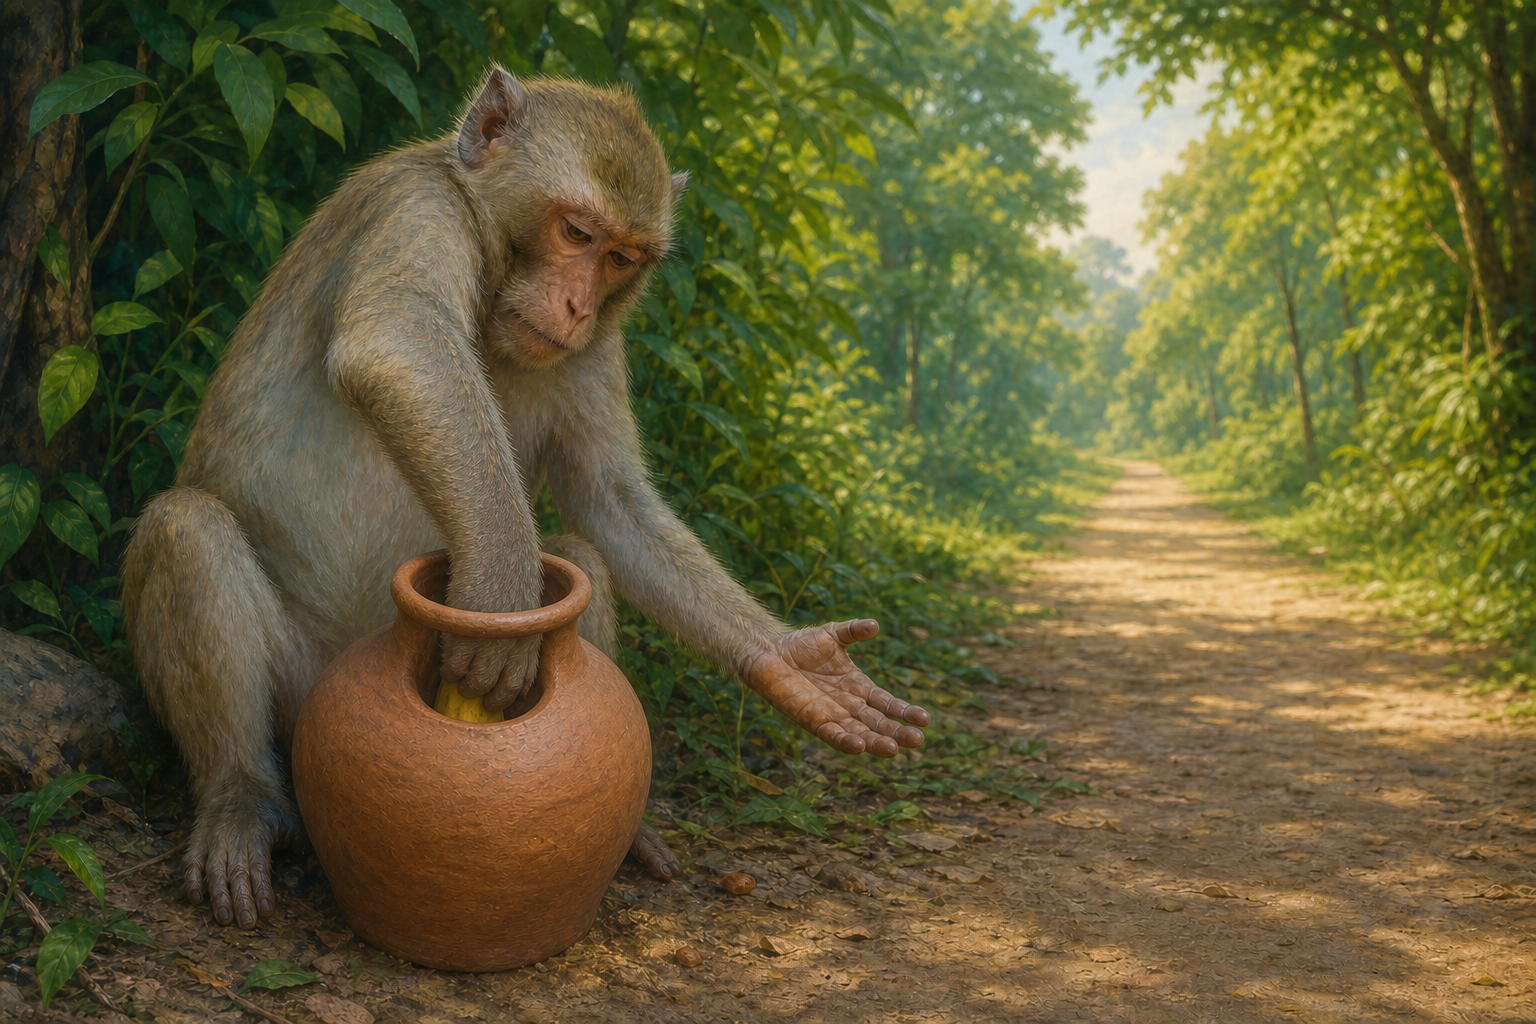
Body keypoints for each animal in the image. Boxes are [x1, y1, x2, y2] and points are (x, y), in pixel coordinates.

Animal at [121, 67, 931, 932]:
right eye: (575, 233)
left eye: (620, 259)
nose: (576, 306)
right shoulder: (414, 204)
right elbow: (396, 342)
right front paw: (501, 598)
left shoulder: (600, 342)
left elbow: (608, 498)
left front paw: (791, 661)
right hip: (312, 696)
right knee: (182, 526)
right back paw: (241, 799)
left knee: (582, 556)